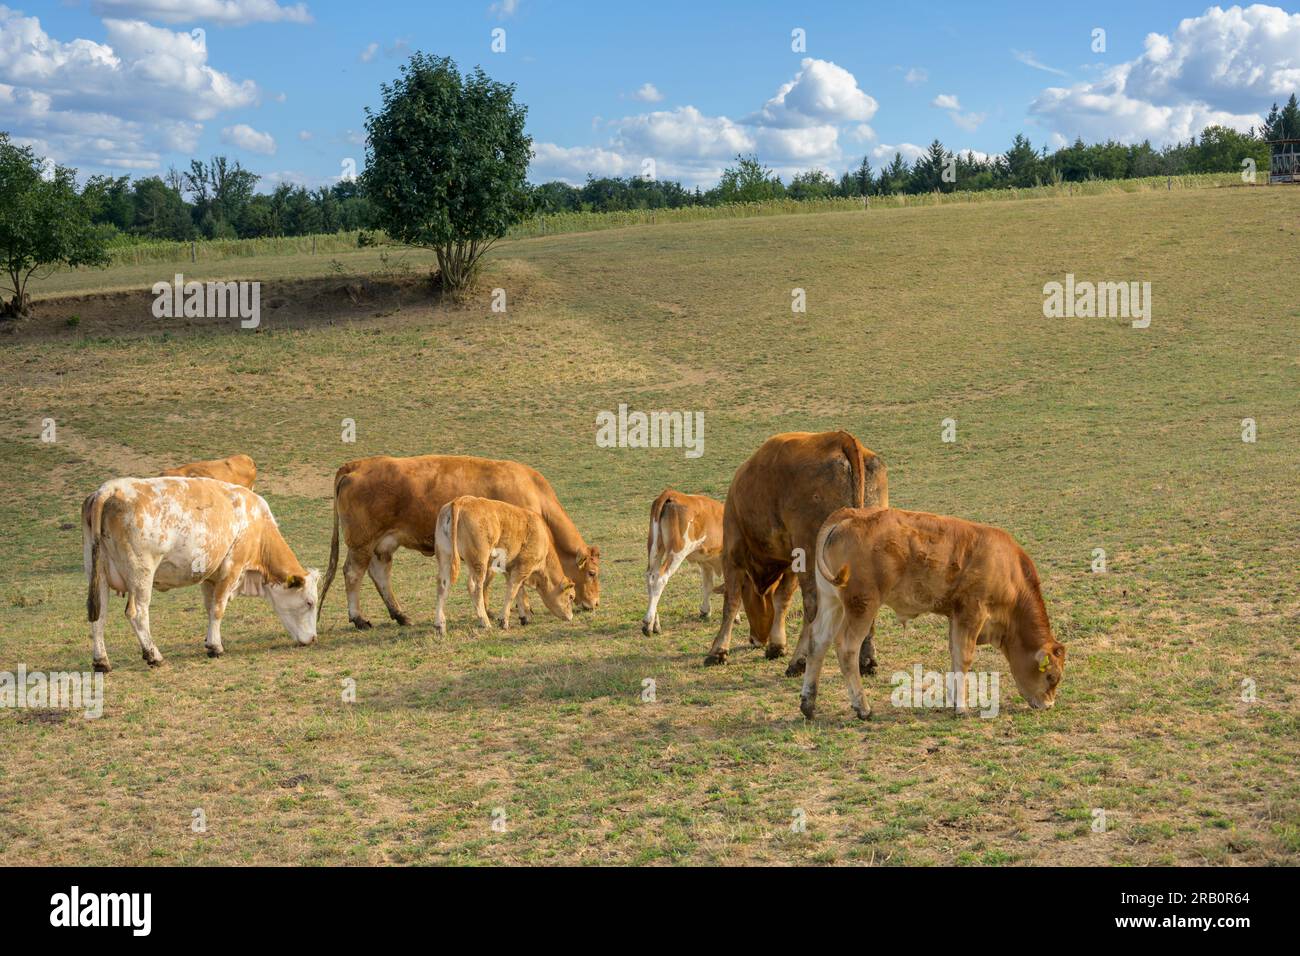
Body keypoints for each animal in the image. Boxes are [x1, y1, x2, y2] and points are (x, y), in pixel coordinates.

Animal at [83, 478, 319, 671]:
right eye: (309, 602)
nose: (313, 639)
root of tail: (111, 488)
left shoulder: (210, 575)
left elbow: (209, 607)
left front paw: (208, 640)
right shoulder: (232, 568)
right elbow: (218, 608)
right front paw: (216, 647)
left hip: (97, 573)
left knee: (99, 616)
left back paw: (101, 661)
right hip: (142, 573)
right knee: (137, 613)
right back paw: (153, 655)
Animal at [434, 494, 572, 634]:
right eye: (571, 596)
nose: (571, 616)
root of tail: (462, 501)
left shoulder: (509, 568)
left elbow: (519, 591)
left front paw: (525, 616)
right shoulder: (523, 567)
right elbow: (512, 591)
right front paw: (504, 620)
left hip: (445, 556)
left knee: (442, 585)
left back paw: (440, 625)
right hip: (479, 561)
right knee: (475, 587)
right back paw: (485, 622)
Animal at [707, 429, 889, 671]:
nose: (755, 639)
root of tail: (840, 438)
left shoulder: (732, 552)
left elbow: (731, 600)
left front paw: (718, 650)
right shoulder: (790, 562)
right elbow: (782, 599)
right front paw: (776, 645)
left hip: (811, 555)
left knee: (813, 606)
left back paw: (799, 660)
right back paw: (867, 661)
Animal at [800, 509, 1066, 717]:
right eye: (1051, 677)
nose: (1049, 705)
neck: (1008, 570)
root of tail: (850, 514)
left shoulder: (956, 616)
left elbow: (955, 654)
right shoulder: (972, 612)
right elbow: (964, 657)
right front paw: (962, 707)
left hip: (832, 602)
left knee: (818, 642)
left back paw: (808, 704)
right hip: (862, 605)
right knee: (847, 648)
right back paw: (862, 707)